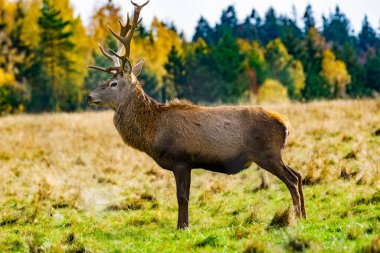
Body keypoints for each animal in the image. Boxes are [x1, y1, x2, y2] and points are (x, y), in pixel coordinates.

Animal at [85, 0, 306, 229]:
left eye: (113, 83)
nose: (89, 96)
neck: (154, 131)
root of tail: (286, 123)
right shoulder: (188, 163)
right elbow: (185, 196)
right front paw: (184, 224)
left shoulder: (181, 159)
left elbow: (182, 197)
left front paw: (182, 226)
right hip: (274, 154)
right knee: (298, 175)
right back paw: (305, 216)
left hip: (267, 152)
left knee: (291, 179)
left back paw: (297, 217)